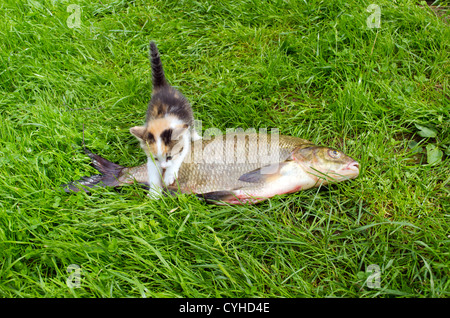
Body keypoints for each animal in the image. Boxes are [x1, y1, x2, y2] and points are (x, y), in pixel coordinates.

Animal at [130, 41, 200, 196]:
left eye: (169, 156)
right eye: (156, 158)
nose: (163, 166)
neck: (162, 120)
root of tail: (162, 87)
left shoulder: (183, 139)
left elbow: (179, 157)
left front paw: (169, 175)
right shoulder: (150, 158)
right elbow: (152, 171)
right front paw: (154, 193)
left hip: (188, 111)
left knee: (192, 125)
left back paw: (197, 137)